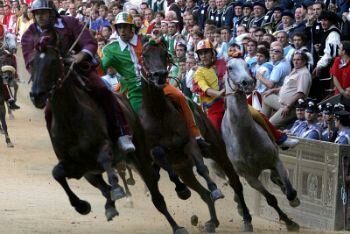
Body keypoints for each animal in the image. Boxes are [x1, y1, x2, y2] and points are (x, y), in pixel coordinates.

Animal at [28, 33, 196, 234]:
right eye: (31, 64)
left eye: (54, 62)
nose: (36, 95)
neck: (71, 119)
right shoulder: (76, 166)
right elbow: (57, 173)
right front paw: (82, 205)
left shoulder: (107, 147)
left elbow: (105, 161)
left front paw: (115, 190)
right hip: (92, 172)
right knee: (104, 185)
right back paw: (111, 204)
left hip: (139, 157)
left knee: (157, 196)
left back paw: (177, 220)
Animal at [139, 40, 254, 232]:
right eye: (145, 56)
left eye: (164, 54)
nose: (160, 75)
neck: (159, 112)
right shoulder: (155, 151)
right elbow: (161, 156)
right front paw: (182, 191)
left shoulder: (189, 142)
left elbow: (202, 167)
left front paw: (215, 189)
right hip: (184, 169)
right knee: (202, 194)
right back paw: (210, 221)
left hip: (217, 150)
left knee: (234, 182)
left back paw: (246, 218)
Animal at [221, 58, 300, 230]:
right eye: (230, 67)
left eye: (247, 65)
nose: (248, 82)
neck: (247, 138)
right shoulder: (249, 176)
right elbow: (270, 199)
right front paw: (289, 222)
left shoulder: (275, 160)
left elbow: (289, 191)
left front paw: (293, 205)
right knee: (238, 189)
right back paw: (245, 217)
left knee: (276, 179)